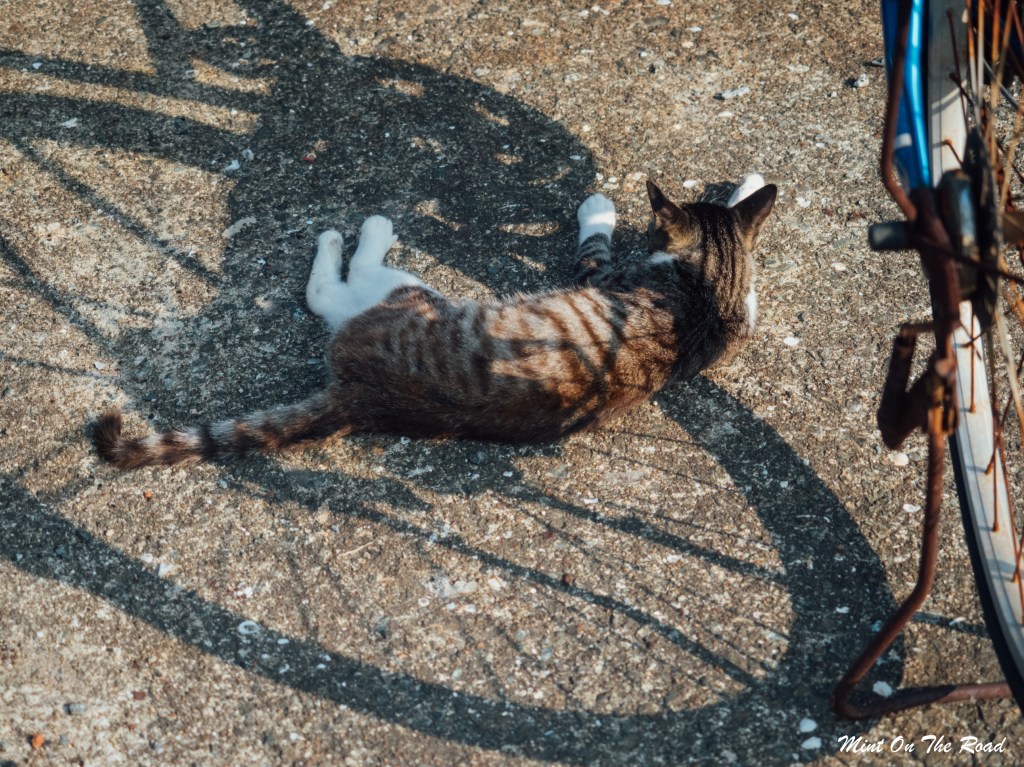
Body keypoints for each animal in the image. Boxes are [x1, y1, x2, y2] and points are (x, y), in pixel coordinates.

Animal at [94, 178, 777, 468]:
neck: (707, 290)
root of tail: (363, 397)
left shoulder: (599, 276)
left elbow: (593, 244)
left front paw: (598, 209)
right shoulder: (739, 303)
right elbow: (745, 230)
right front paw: (751, 182)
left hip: (409, 295)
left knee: (329, 293)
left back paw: (358, 234)